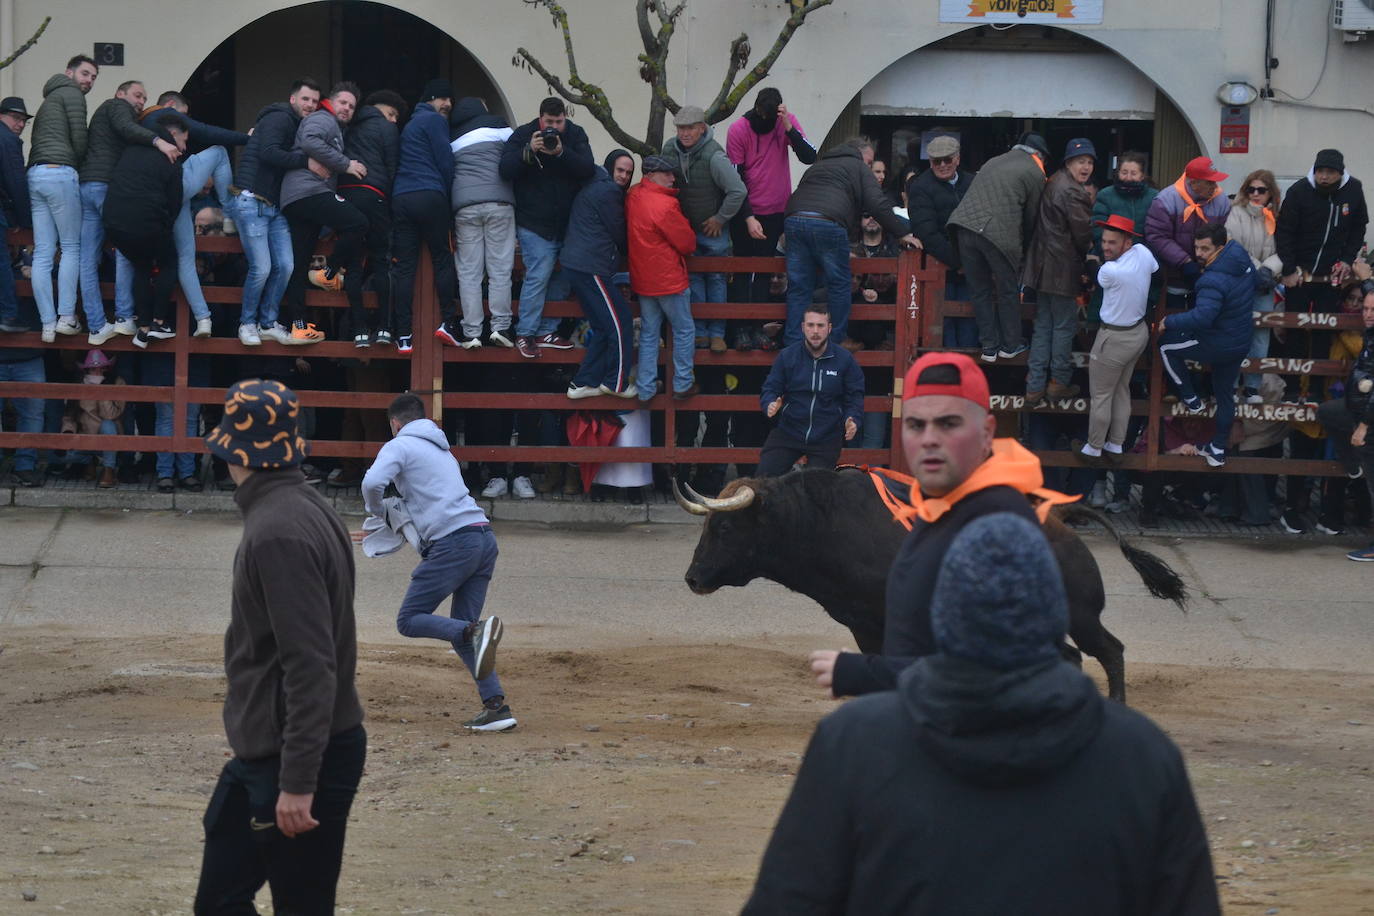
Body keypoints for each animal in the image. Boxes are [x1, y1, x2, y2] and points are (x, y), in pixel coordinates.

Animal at [670, 469, 1187, 708]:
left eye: (725, 529)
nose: (692, 578)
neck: (822, 521)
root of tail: (1060, 519)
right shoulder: (862, 622)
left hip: (1081, 615)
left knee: (1107, 651)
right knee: (1077, 656)